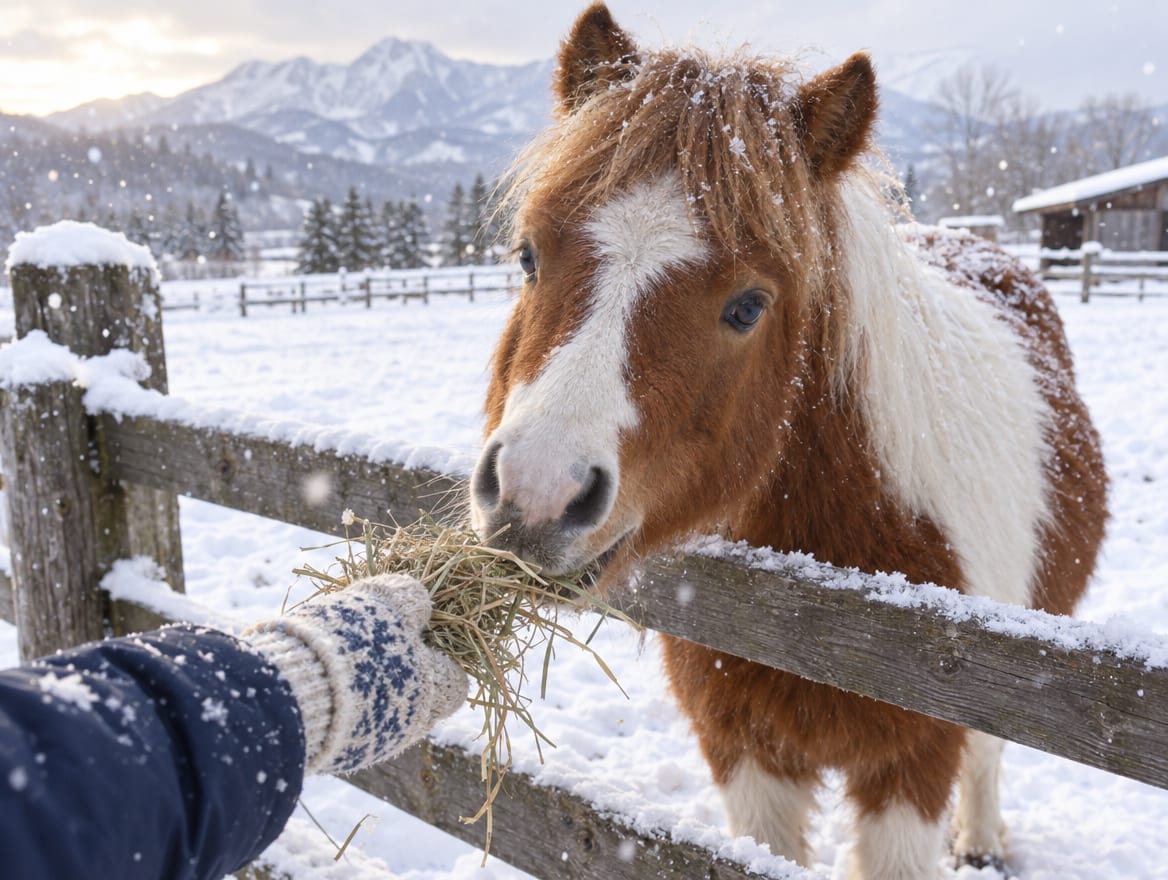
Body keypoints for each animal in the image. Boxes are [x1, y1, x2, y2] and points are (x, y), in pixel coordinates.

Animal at [468, 4, 1108, 877]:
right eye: (528, 255)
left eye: (748, 305)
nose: (535, 495)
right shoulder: (745, 753)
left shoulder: (914, 764)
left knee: (989, 756)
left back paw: (979, 842)